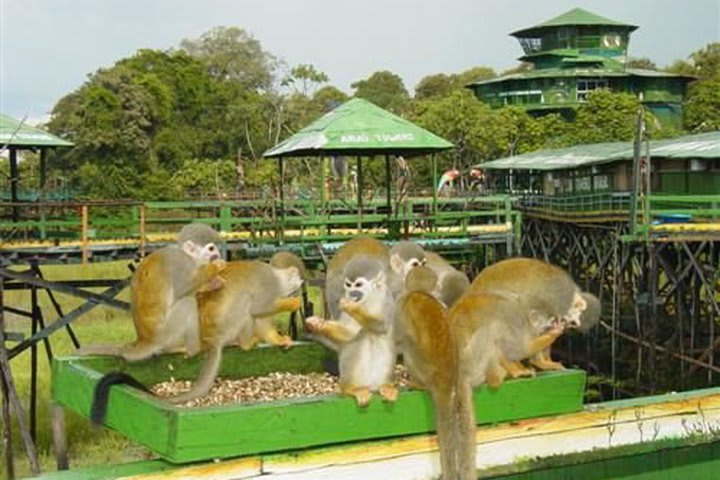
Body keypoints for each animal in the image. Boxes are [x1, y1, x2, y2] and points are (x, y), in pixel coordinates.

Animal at [77, 222, 226, 360]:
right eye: (211, 248)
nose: (217, 254)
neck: (188, 256)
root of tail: (145, 340)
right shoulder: (180, 263)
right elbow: (182, 289)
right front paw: (213, 268)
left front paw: (214, 282)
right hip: (165, 333)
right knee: (187, 302)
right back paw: (191, 349)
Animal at [304, 256, 394, 406]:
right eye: (348, 285)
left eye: (358, 285)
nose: (352, 293)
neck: (368, 298)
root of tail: (370, 385)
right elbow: (349, 332)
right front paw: (319, 325)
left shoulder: (387, 297)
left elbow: (383, 326)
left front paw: (352, 307)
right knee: (360, 337)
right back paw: (350, 389)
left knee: (372, 334)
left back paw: (384, 386)